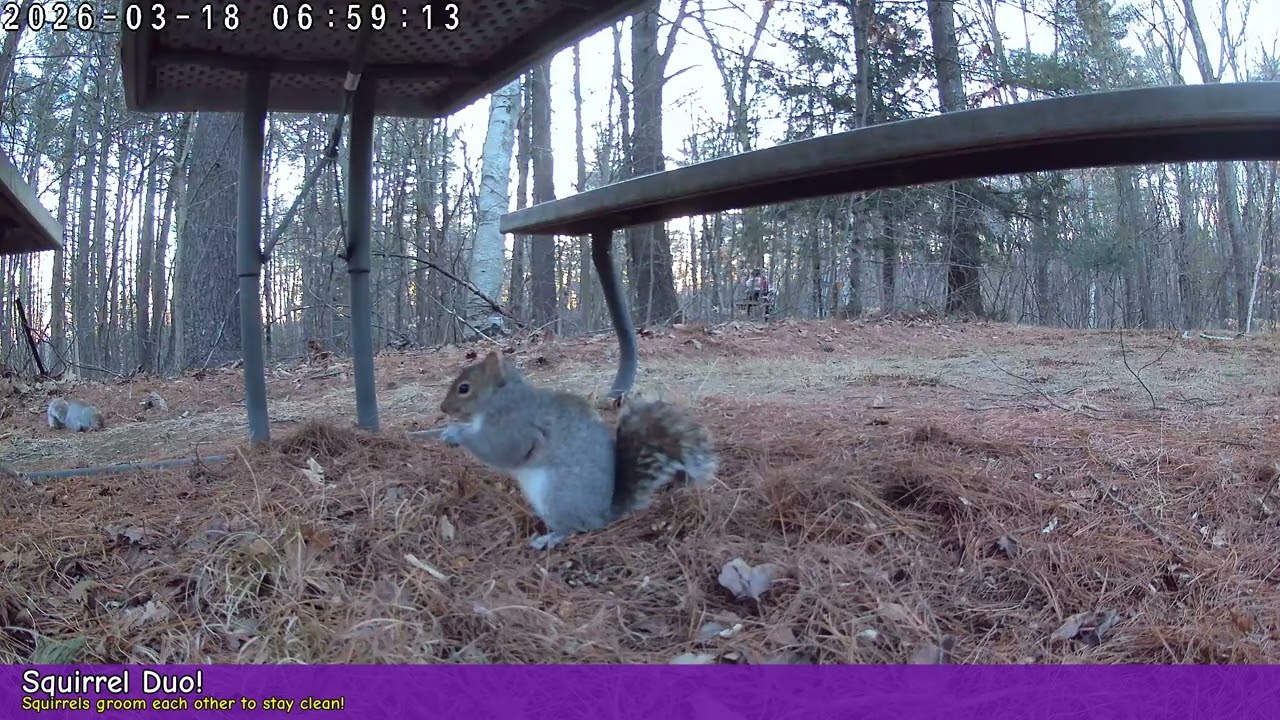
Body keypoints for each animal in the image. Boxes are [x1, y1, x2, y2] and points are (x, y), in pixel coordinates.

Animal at [438, 351, 718, 550]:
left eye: (464, 388)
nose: (442, 409)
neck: (502, 398)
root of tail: (602, 515)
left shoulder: (515, 427)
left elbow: (500, 451)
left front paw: (456, 432)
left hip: (558, 495)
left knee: (573, 527)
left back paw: (549, 539)